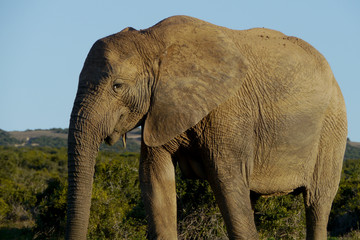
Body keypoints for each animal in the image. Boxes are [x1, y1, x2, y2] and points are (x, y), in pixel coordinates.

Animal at [66, 15, 348, 239]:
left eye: (118, 86)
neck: (153, 41)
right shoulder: (161, 110)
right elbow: (155, 177)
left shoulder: (229, 111)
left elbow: (228, 181)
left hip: (332, 128)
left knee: (317, 203)